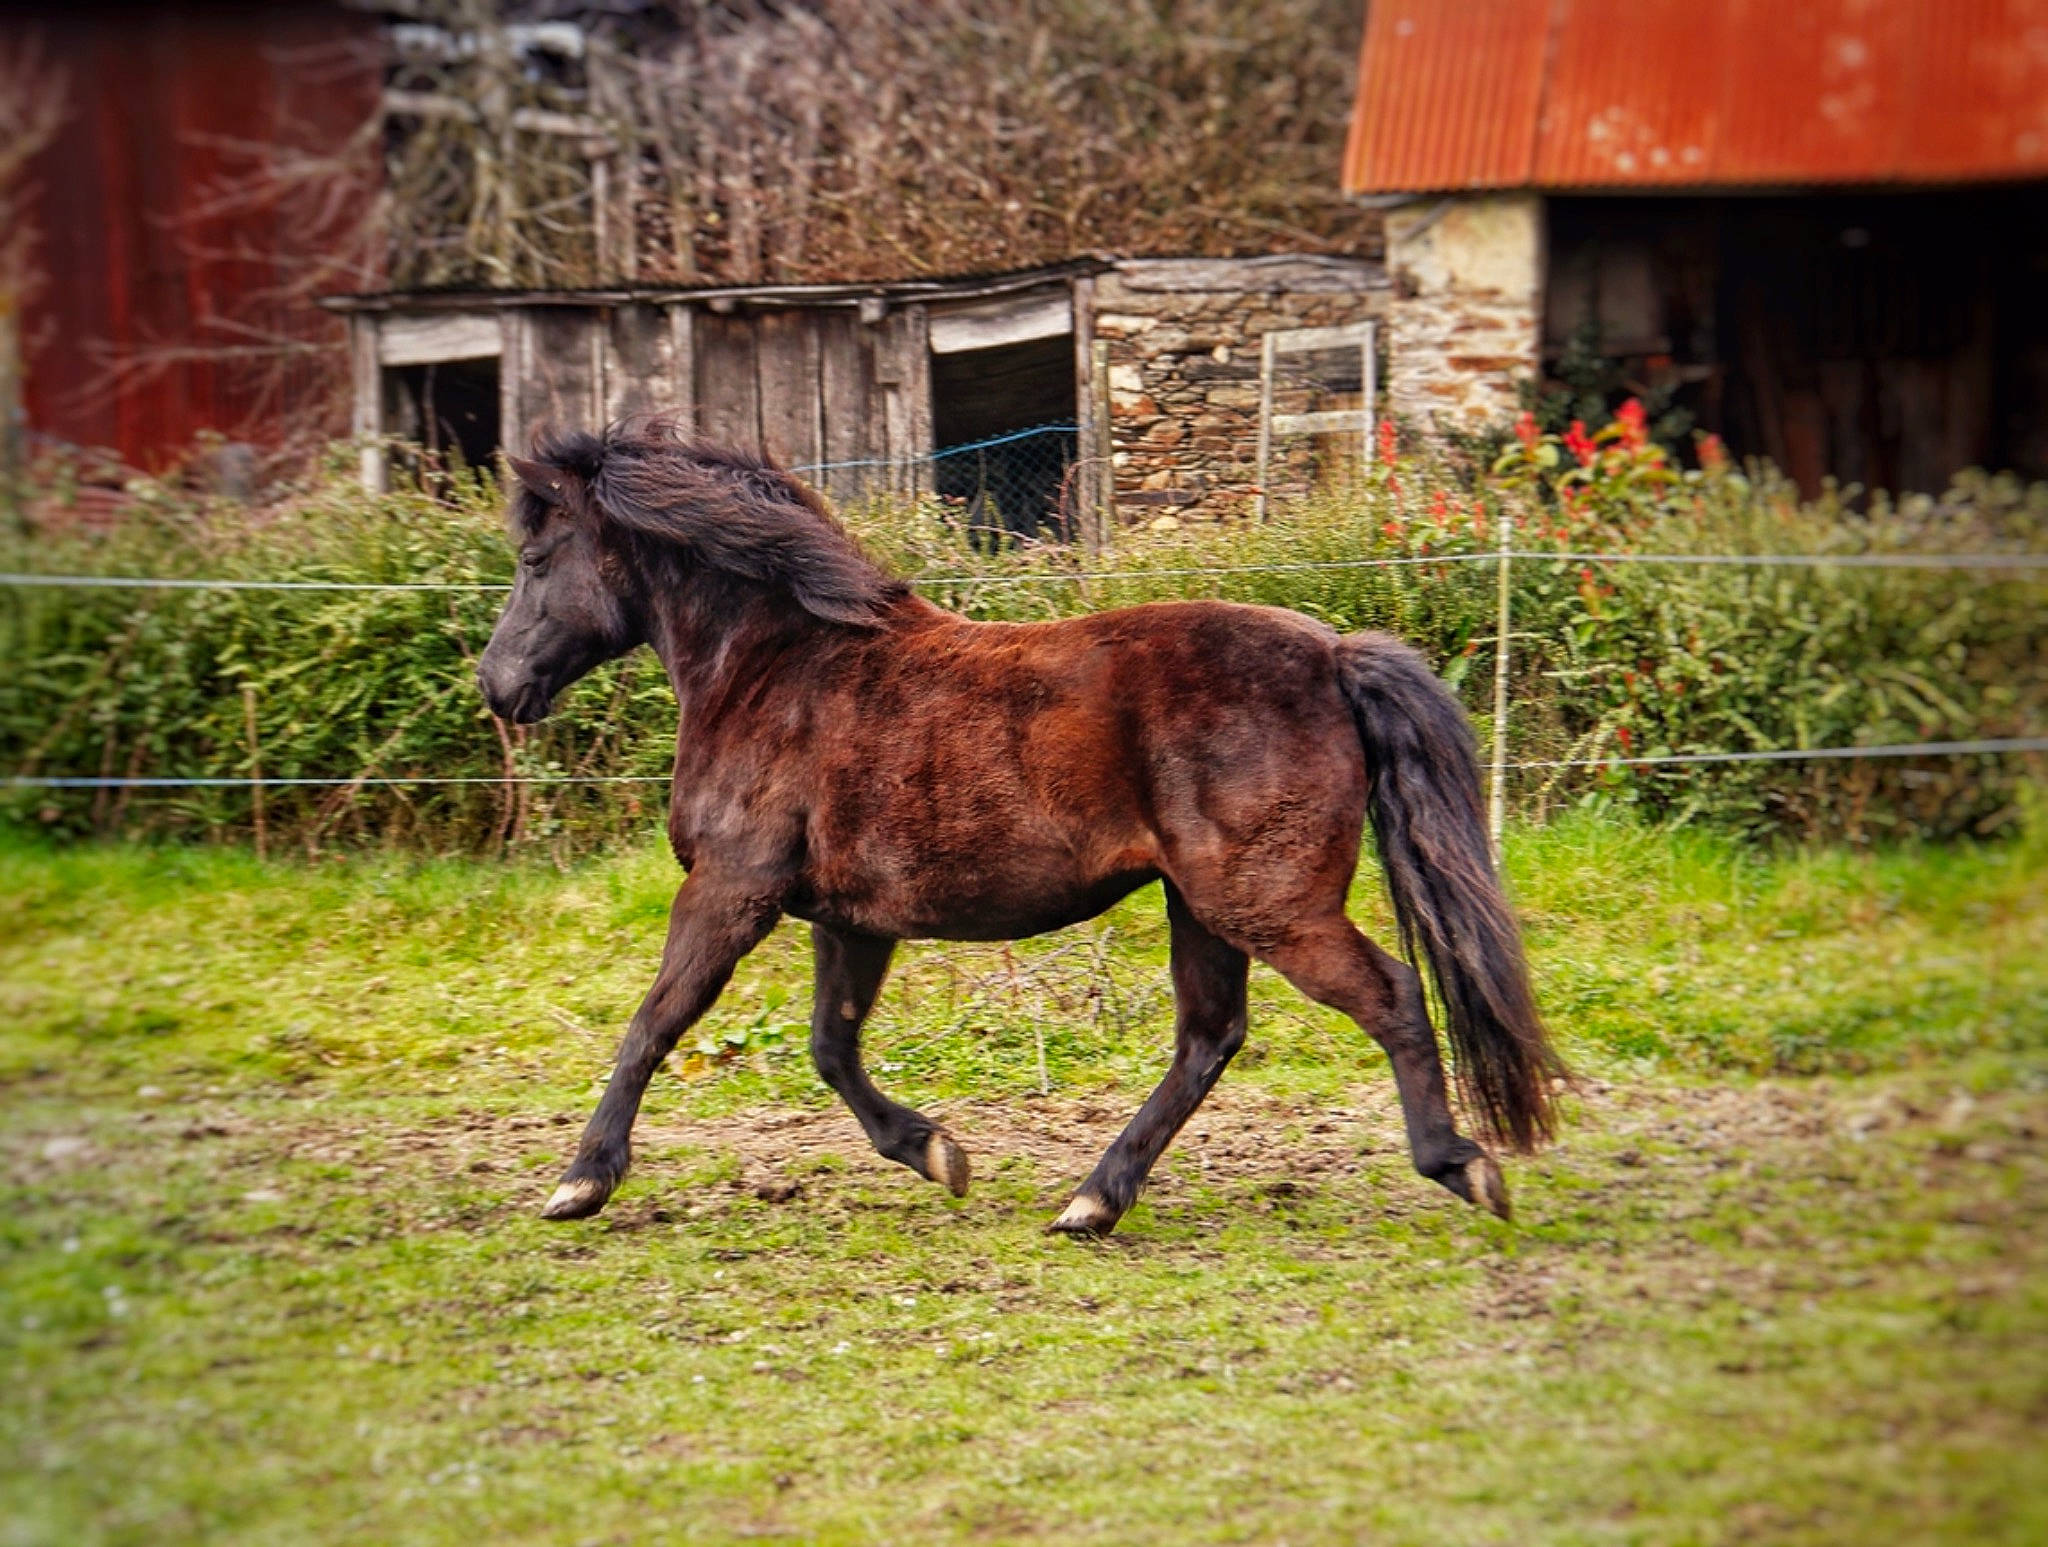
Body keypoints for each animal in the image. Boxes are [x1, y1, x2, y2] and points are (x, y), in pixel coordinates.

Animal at [476, 421, 1562, 1236]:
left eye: (535, 557)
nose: (498, 685)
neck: (777, 667)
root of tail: (1335, 656)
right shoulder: (848, 917)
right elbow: (832, 1045)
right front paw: (936, 1152)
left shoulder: (729, 890)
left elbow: (653, 1023)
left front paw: (580, 1180)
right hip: (1202, 905)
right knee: (1207, 1037)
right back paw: (1092, 1200)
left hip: (1267, 903)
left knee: (1387, 995)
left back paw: (1461, 1165)